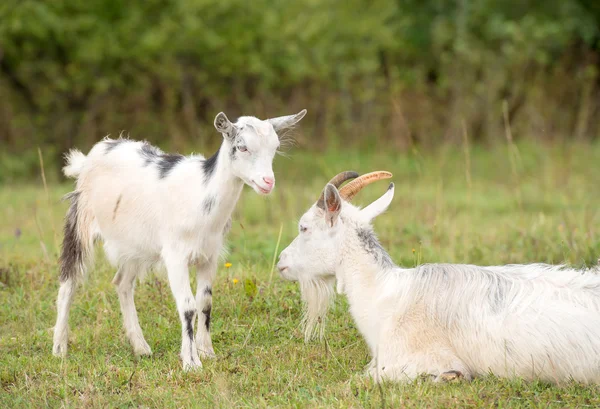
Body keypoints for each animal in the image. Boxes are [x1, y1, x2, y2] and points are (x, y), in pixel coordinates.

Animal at [52, 108, 308, 370]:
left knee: (122, 283)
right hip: (81, 220)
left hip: (134, 243)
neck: (200, 196)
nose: (268, 182)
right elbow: (187, 306)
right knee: (69, 281)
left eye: (275, 147)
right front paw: (192, 362)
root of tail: (93, 154)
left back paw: (141, 348)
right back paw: (59, 349)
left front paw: (207, 352)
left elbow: (205, 303)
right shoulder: (175, 255)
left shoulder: (210, 255)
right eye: (242, 147)